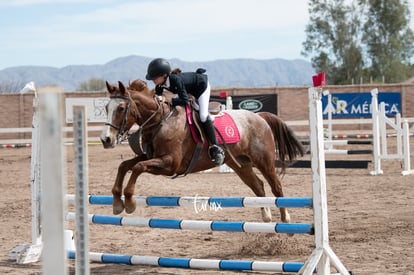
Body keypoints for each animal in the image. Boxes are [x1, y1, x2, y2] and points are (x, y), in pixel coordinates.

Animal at [100, 80, 304, 224]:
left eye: (121, 108)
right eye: (106, 108)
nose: (106, 139)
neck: (161, 119)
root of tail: (259, 117)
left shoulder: (169, 164)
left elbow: (138, 168)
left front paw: (129, 202)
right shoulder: (152, 157)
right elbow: (124, 165)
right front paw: (117, 202)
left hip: (264, 161)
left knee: (276, 187)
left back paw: (285, 219)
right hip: (240, 164)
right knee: (258, 186)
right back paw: (266, 216)